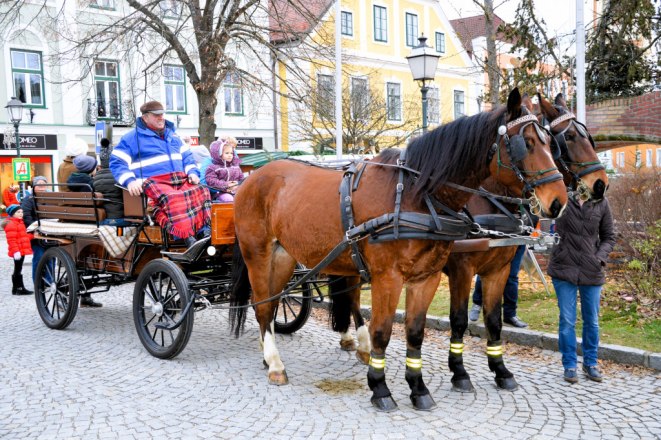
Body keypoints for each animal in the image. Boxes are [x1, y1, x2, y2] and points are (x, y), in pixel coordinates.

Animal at [229, 87, 564, 410]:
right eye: (527, 143)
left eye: (551, 142)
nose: (558, 201)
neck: (416, 195)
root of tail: (251, 179)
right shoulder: (397, 276)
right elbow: (385, 330)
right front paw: (380, 388)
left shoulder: (431, 276)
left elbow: (418, 331)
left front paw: (419, 388)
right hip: (259, 255)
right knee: (263, 305)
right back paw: (275, 363)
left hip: (287, 257)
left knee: (274, 303)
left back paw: (274, 352)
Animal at [440, 93, 604, 392]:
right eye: (569, 137)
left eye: (549, 142)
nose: (600, 184)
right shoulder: (461, 270)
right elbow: (458, 321)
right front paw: (459, 372)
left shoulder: (499, 269)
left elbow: (494, 320)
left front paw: (501, 371)